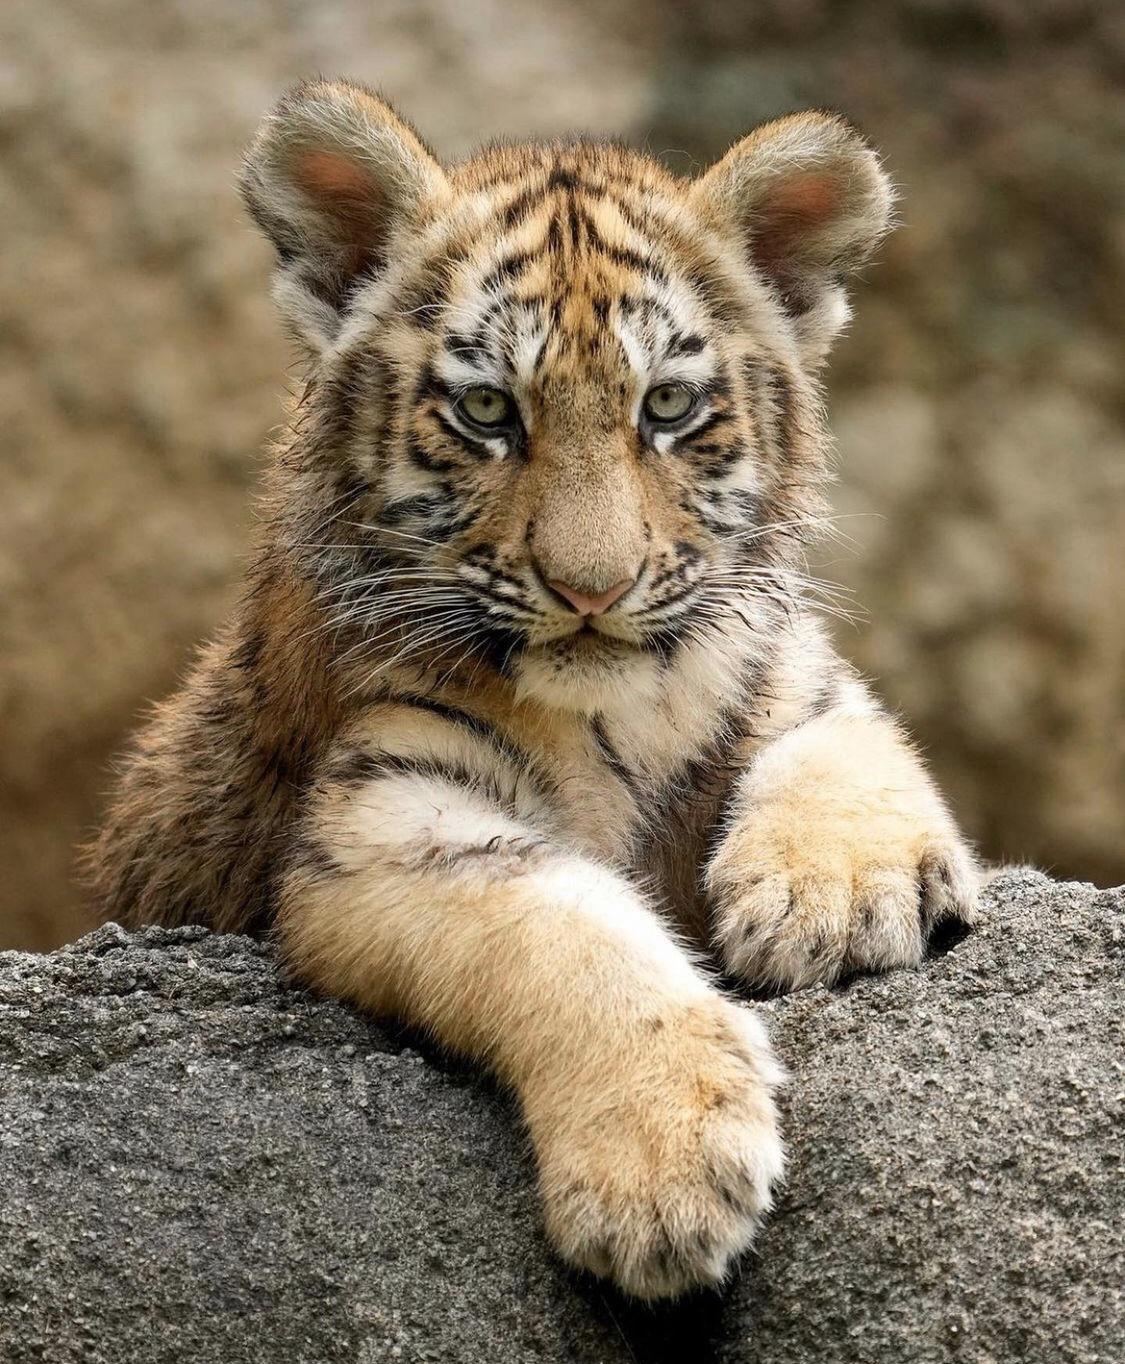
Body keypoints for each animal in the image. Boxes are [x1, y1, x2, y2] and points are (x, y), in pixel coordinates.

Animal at [87, 79, 979, 1301]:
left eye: (667, 407)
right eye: (486, 412)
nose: (590, 586)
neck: (625, 704)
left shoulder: (792, 669)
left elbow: (847, 743)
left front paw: (839, 899)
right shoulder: (390, 822)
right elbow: (562, 931)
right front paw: (663, 1169)